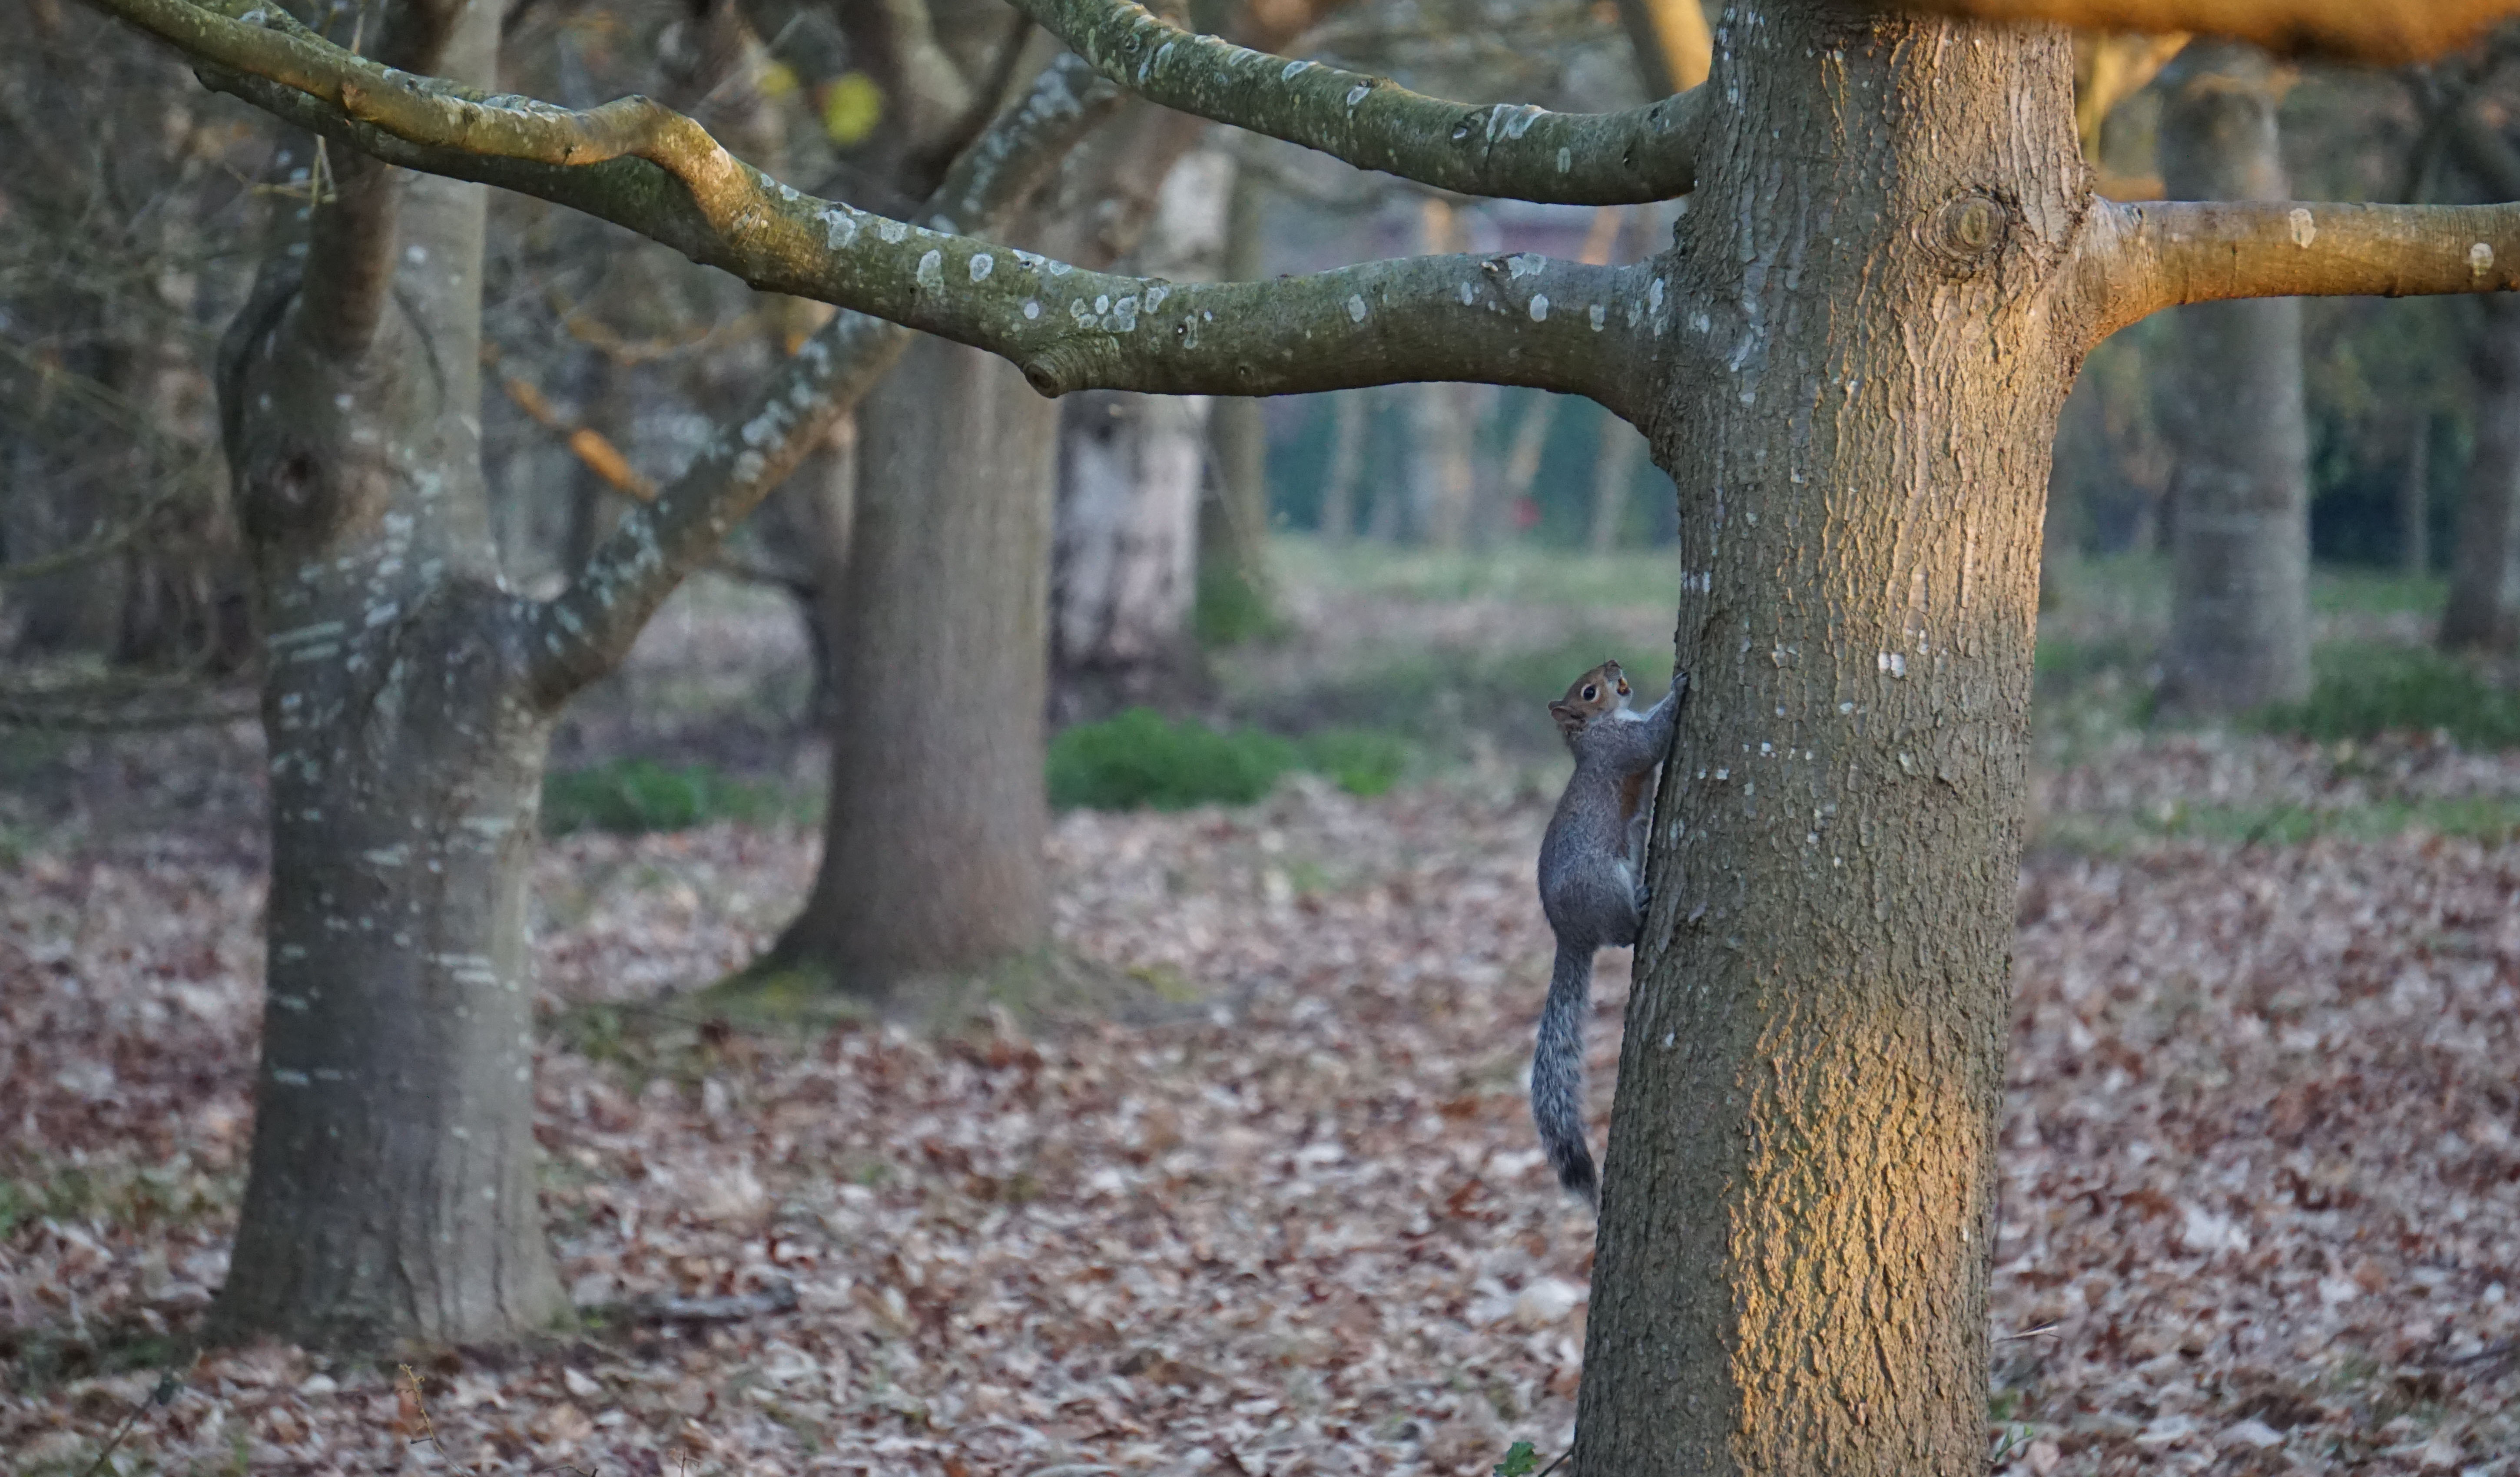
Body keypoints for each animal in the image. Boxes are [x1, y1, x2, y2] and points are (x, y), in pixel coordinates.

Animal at [1533, 658, 1685, 1207]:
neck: (1596, 731)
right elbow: (1651, 741)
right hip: (1603, 885)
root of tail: (1568, 934)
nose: (1614, 665)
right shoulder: (1620, 748)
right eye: (1588, 691)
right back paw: (1640, 908)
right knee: (1621, 935)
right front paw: (1678, 688)